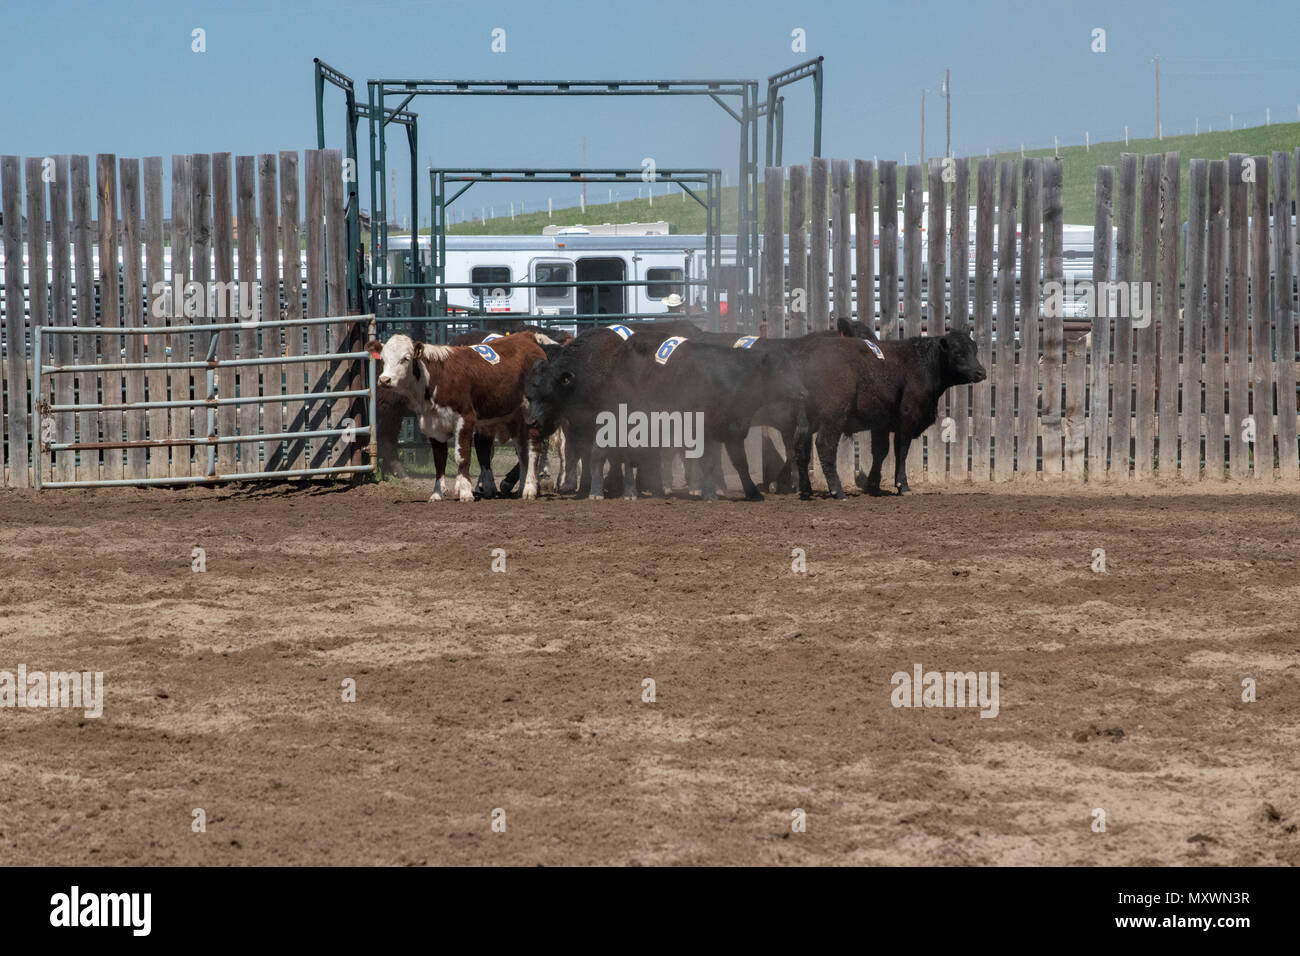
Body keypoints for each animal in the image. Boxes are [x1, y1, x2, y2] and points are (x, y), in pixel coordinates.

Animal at [366, 332, 548, 502]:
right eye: (383, 359)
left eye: (405, 358)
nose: (384, 380)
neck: (436, 378)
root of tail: (527, 336)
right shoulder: (433, 426)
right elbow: (439, 461)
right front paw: (437, 494)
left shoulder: (465, 420)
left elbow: (462, 457)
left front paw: (466, 492)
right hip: (515, 418)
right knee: (522, 451)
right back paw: (521, 488)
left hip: (532, 413)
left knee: (533, 449)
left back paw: (530, 489)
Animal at [790, 329, 982, 496]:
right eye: (957, 352)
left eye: (975, 350)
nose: (981, 372)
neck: (923, 364)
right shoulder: (907, 420)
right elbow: (901, 451)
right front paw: (903, 486)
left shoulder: (880, 423)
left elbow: (880, 452)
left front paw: (873, 485)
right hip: (833, 416)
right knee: (825, 445)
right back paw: (837, 491)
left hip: (806, 417)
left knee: (800, 445)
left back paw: (806, 490)